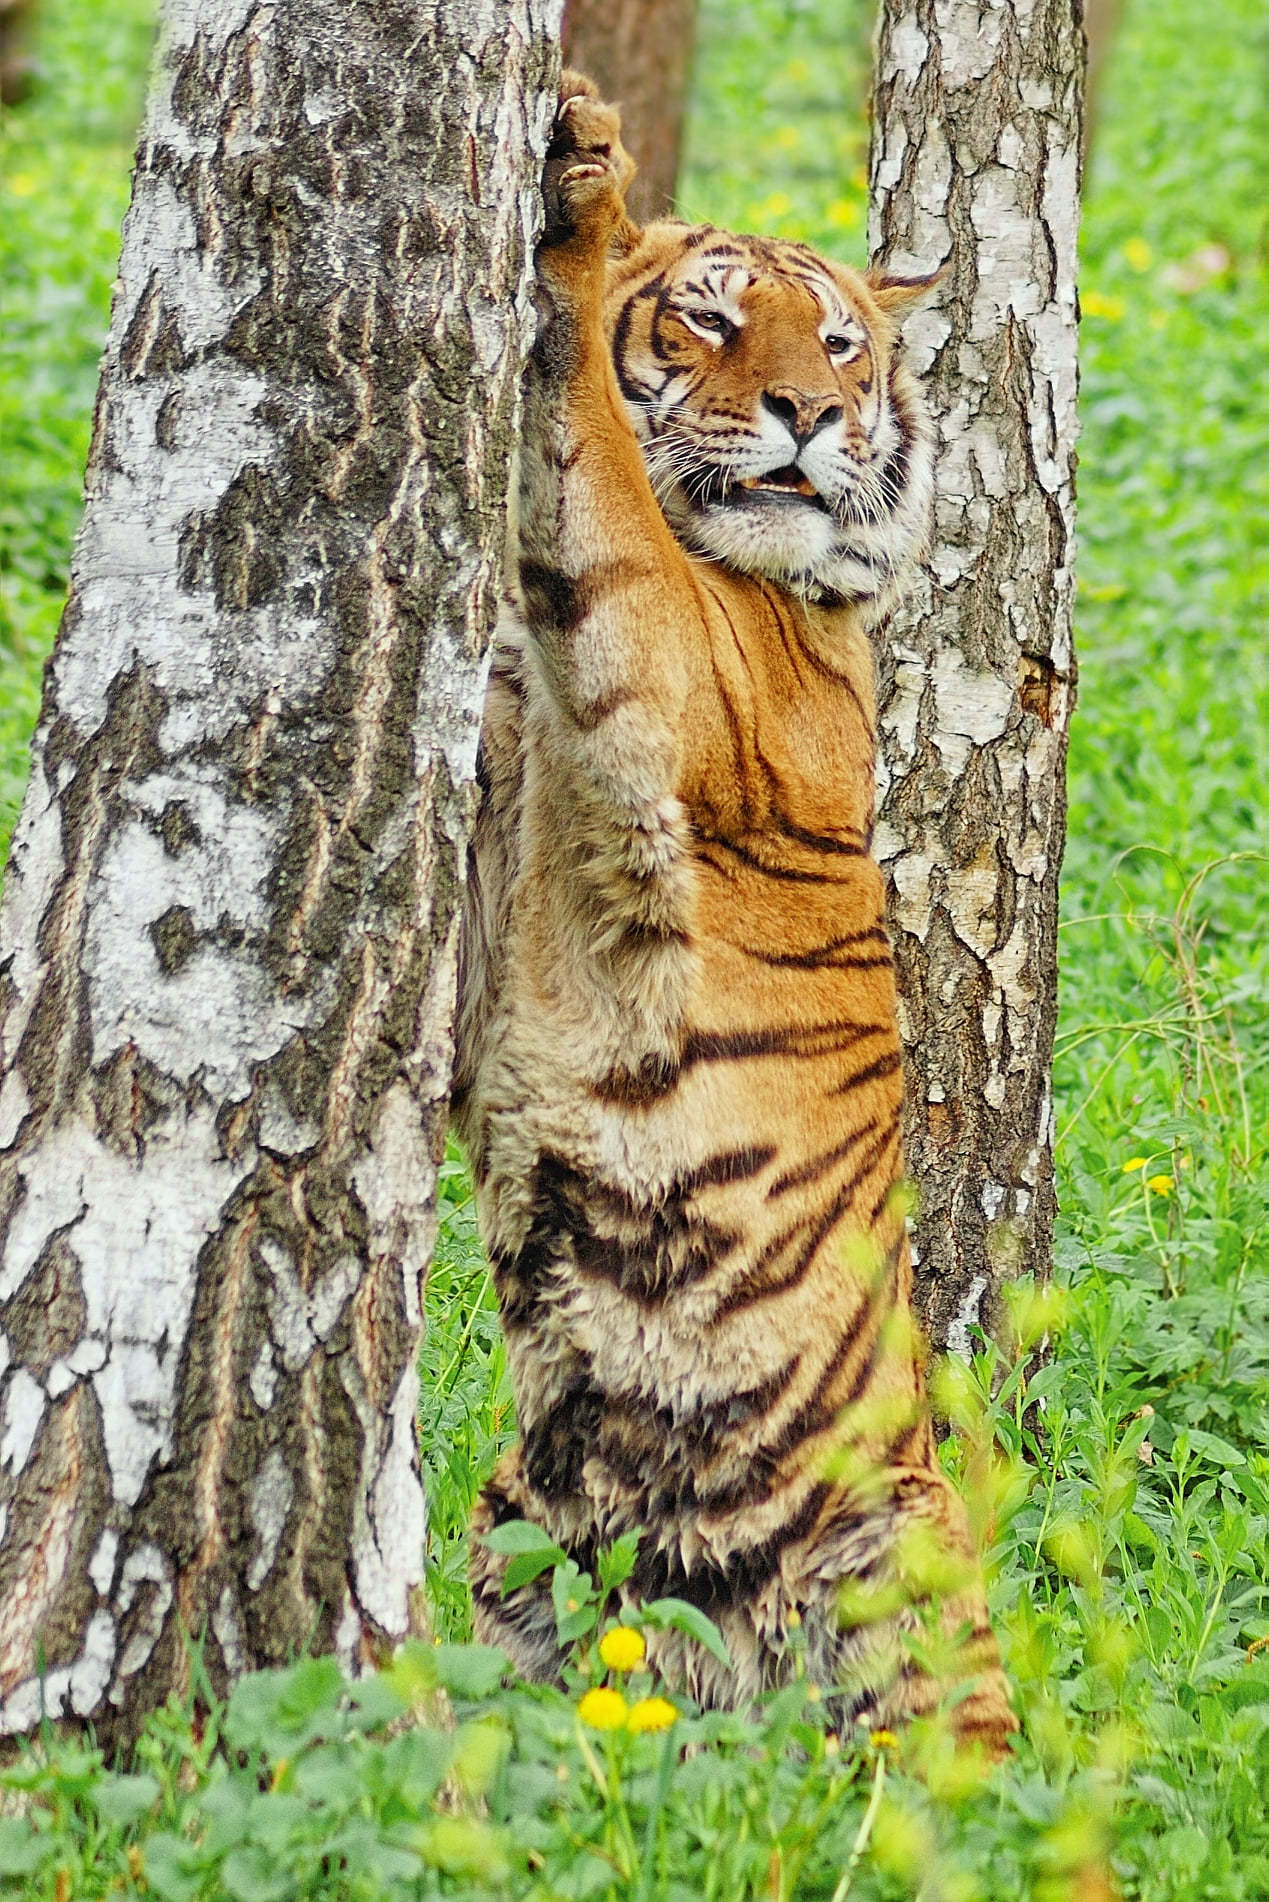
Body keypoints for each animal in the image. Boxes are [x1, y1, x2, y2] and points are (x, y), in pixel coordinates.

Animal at [450, 74, 1019, 1749]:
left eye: (834, 345)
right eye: (709, 319)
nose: (809, 417)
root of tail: (712, 1672)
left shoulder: (648, 653)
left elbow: (587, 462)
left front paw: (579, 189)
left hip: (904, 1577)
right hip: (514, 1552)